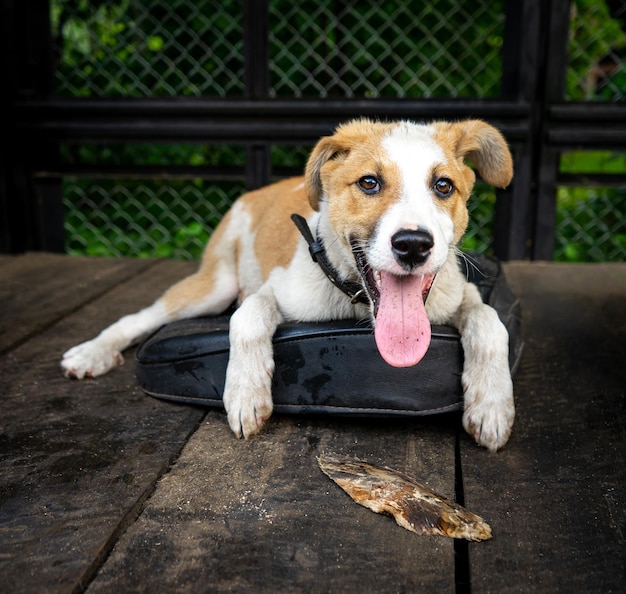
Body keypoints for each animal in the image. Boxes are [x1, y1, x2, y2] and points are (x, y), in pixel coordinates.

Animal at [62, 117, 512, 448]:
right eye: (369, 182)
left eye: (443, 186)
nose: (413, 245)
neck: (355, 301)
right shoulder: (278, 289)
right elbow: (248, 315)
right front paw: (245, 391)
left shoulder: (460, 292)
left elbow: (492, 322)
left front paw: (492, 403)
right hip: (215, 286)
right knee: (144, 316)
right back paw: (93, 352)